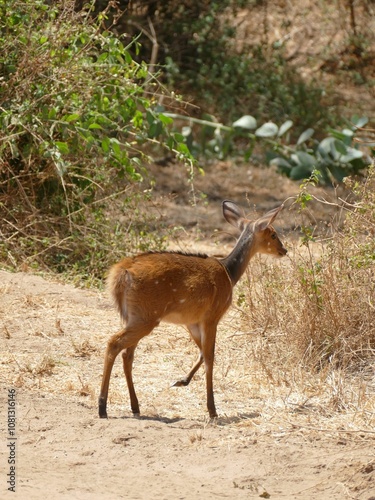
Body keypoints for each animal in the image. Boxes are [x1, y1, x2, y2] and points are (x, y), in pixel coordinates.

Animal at [98, 199, 286, 418]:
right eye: (273, 234)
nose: (284, 250)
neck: (228, 273)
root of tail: (121, 273)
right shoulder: (211, 316)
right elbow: (210, 356)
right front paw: (212, 410)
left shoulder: (192, 322)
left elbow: (202, 353)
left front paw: (181, 381)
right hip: (146, 317)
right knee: (114, 344)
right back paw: (102, 407)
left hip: (134, 316)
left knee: (127, 354)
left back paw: (135, 406)